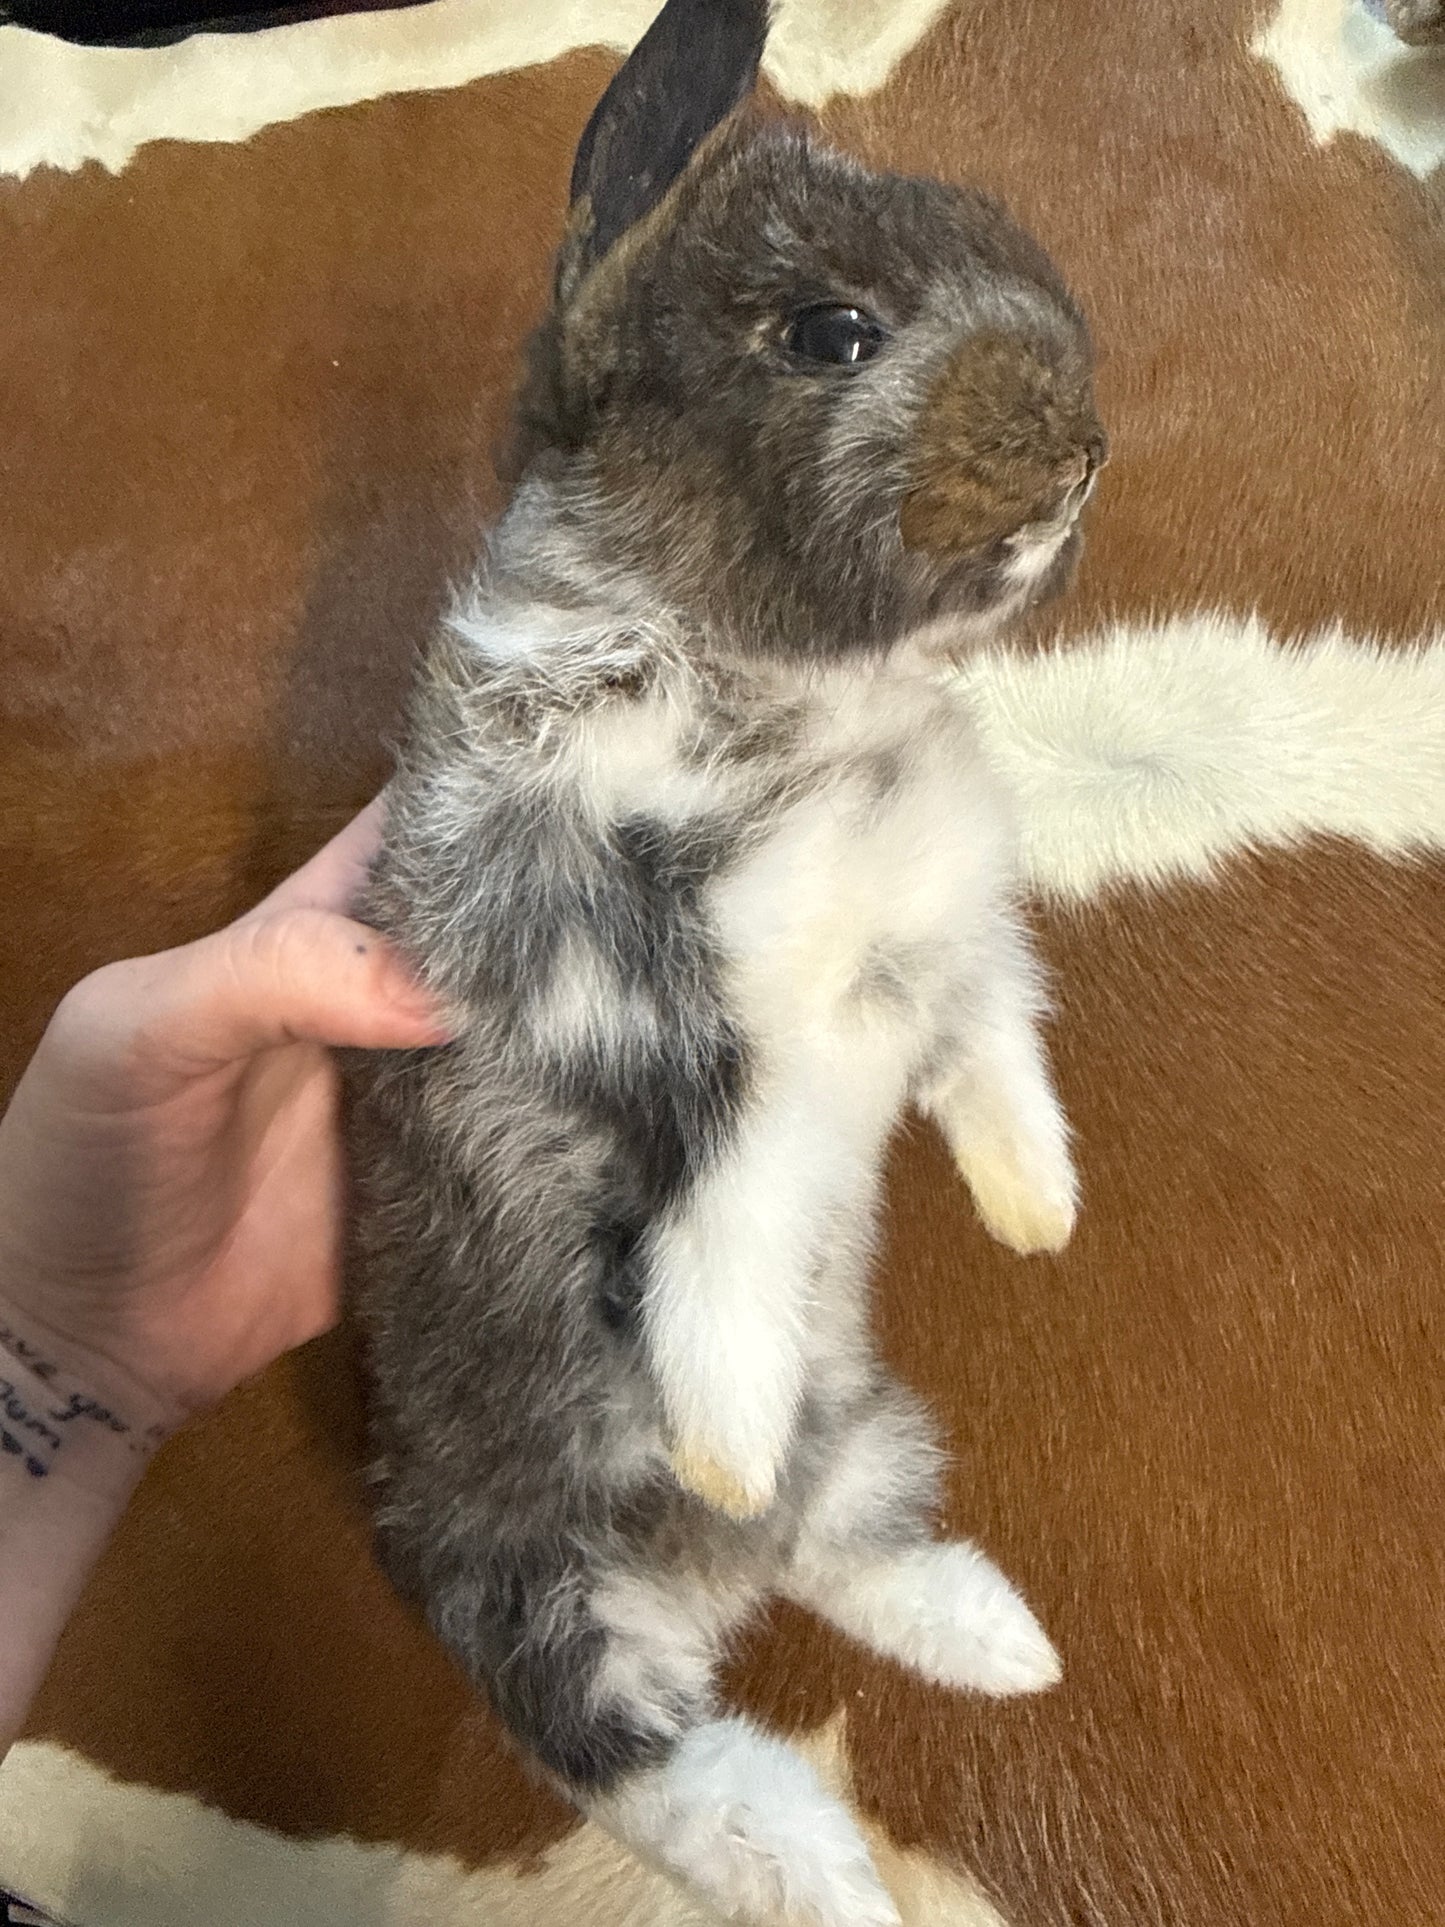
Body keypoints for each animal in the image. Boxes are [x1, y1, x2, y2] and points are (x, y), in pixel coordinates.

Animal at [344, 0, 1105, 1921]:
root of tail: (700, 1586)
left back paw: (1001, 1646)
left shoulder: (947, 963)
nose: (1084, 445)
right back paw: (828, 1842)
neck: (774, 688)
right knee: (662, 1758)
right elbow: (726, 1235)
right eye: (830, 334)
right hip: (548, 1615)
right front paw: (723, 1431)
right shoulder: (688, 1035)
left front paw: (1034, 1213)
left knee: (846, 1557)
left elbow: (1000, 1072)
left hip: (876, 1437)